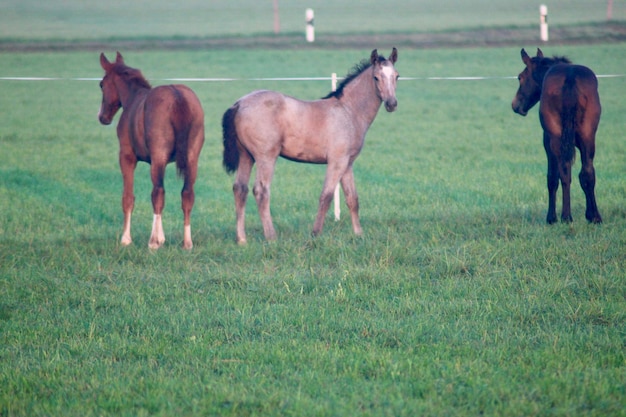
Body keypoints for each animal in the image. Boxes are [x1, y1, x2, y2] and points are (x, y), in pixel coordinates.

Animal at [98, 51, 205, 247]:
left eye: (102, 84)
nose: (103, 117)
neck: (133, 99)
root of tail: (178, 96)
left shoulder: (127, 157)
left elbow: (128, 198)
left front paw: (126, 239)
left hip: (158, 158)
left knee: (158, 193)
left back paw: (153, 241)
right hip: (192, 159)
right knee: (187, 194)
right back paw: (187, 242)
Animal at [221, 48, 394, 244]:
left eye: (396, 76)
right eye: (376, 77)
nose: (392, 103)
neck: (348, 110)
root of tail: (238, 104)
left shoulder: (347, 163)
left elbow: (352, 198)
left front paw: (359, 234)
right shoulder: (337, 162)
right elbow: (326, 196)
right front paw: (315, 233)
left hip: (247, 157)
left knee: (239, 189)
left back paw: (241, 239)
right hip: (266, 157)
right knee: (261, 191)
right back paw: (271, 236)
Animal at [512, 48, 600, 224]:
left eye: (520, 77)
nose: (515, 105)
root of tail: (570, 79)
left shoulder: (547, 142)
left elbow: (552, 178)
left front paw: (551, 217)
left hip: (555, 140)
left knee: (564, 172)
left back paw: (566, 216)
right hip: (588, 137)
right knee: (587, 172)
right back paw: (593, 216)